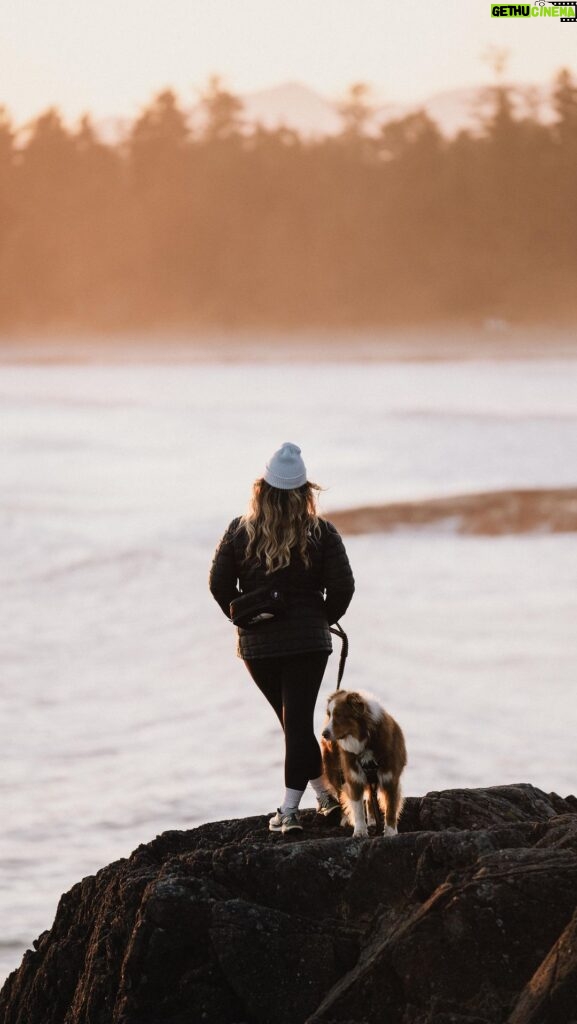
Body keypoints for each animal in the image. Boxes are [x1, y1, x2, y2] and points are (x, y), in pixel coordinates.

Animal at [319, 688, 405, 839]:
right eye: (329, 715)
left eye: (339, 715)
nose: (324, 734)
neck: (365, 741)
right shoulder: (354, 777)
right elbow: (358, 808)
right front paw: (359, 832)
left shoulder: (391, 778)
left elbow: (391, 808)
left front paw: (390, 833)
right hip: (334, 772)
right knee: (341, 794)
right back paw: (346, 818)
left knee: (371, 798)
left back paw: (372, 821)